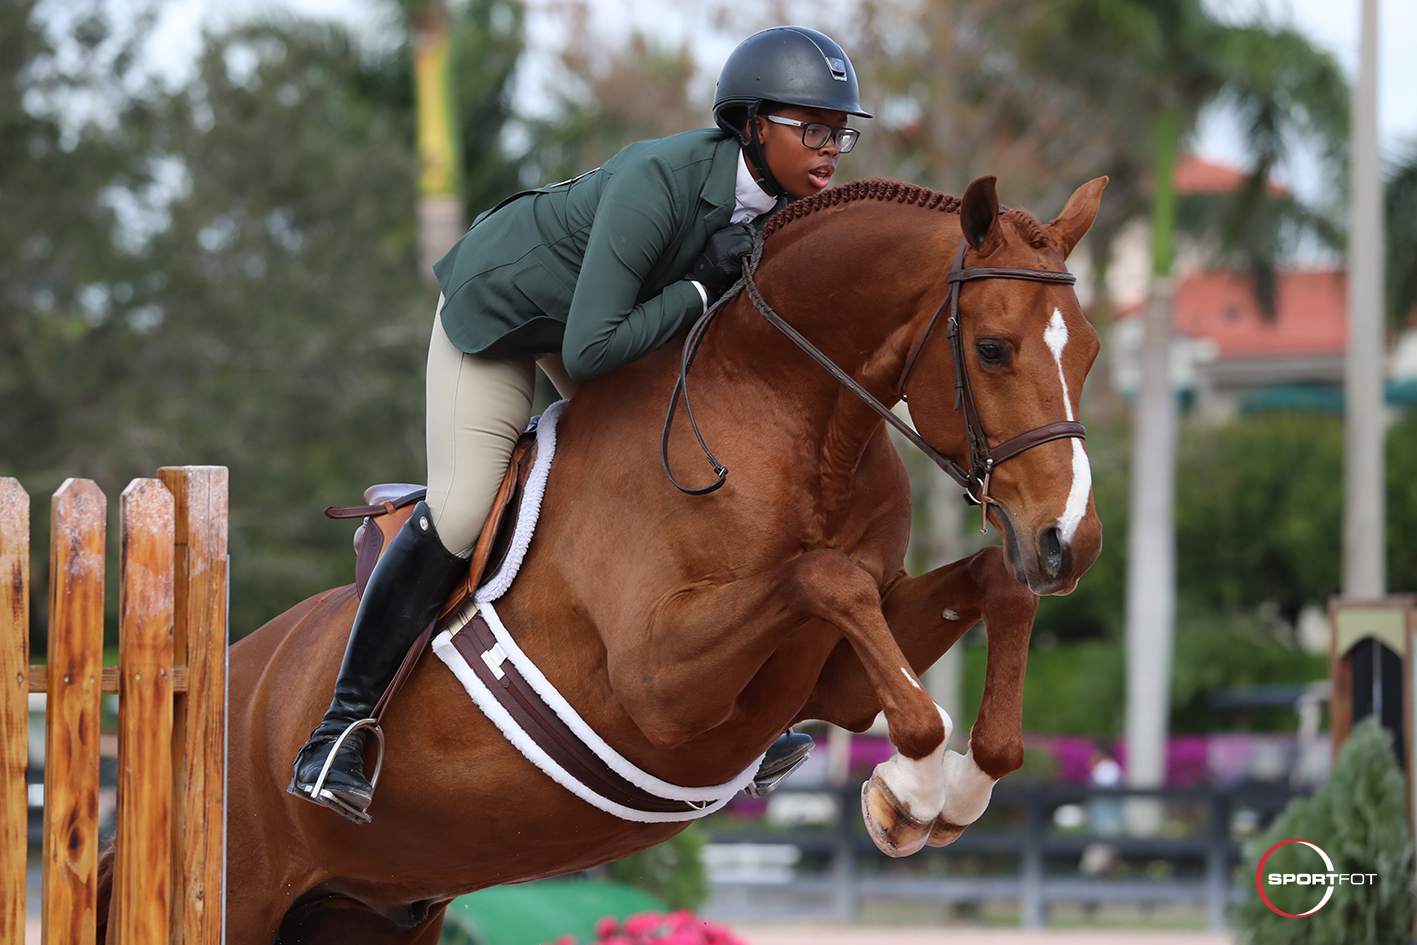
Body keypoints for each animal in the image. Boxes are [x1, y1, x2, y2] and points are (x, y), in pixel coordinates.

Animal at [199, 173, 1099, 940]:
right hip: (245, 897)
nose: (1070, 542)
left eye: (1088, 350)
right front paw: (908, 791)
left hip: (373, 909)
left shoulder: (838, 675)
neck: (789, 419)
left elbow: (991, 584)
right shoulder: (657, 682)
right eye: (992, 349)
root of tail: (235, 671)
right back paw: (335, 756)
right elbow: (825, 575)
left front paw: (966, 783)